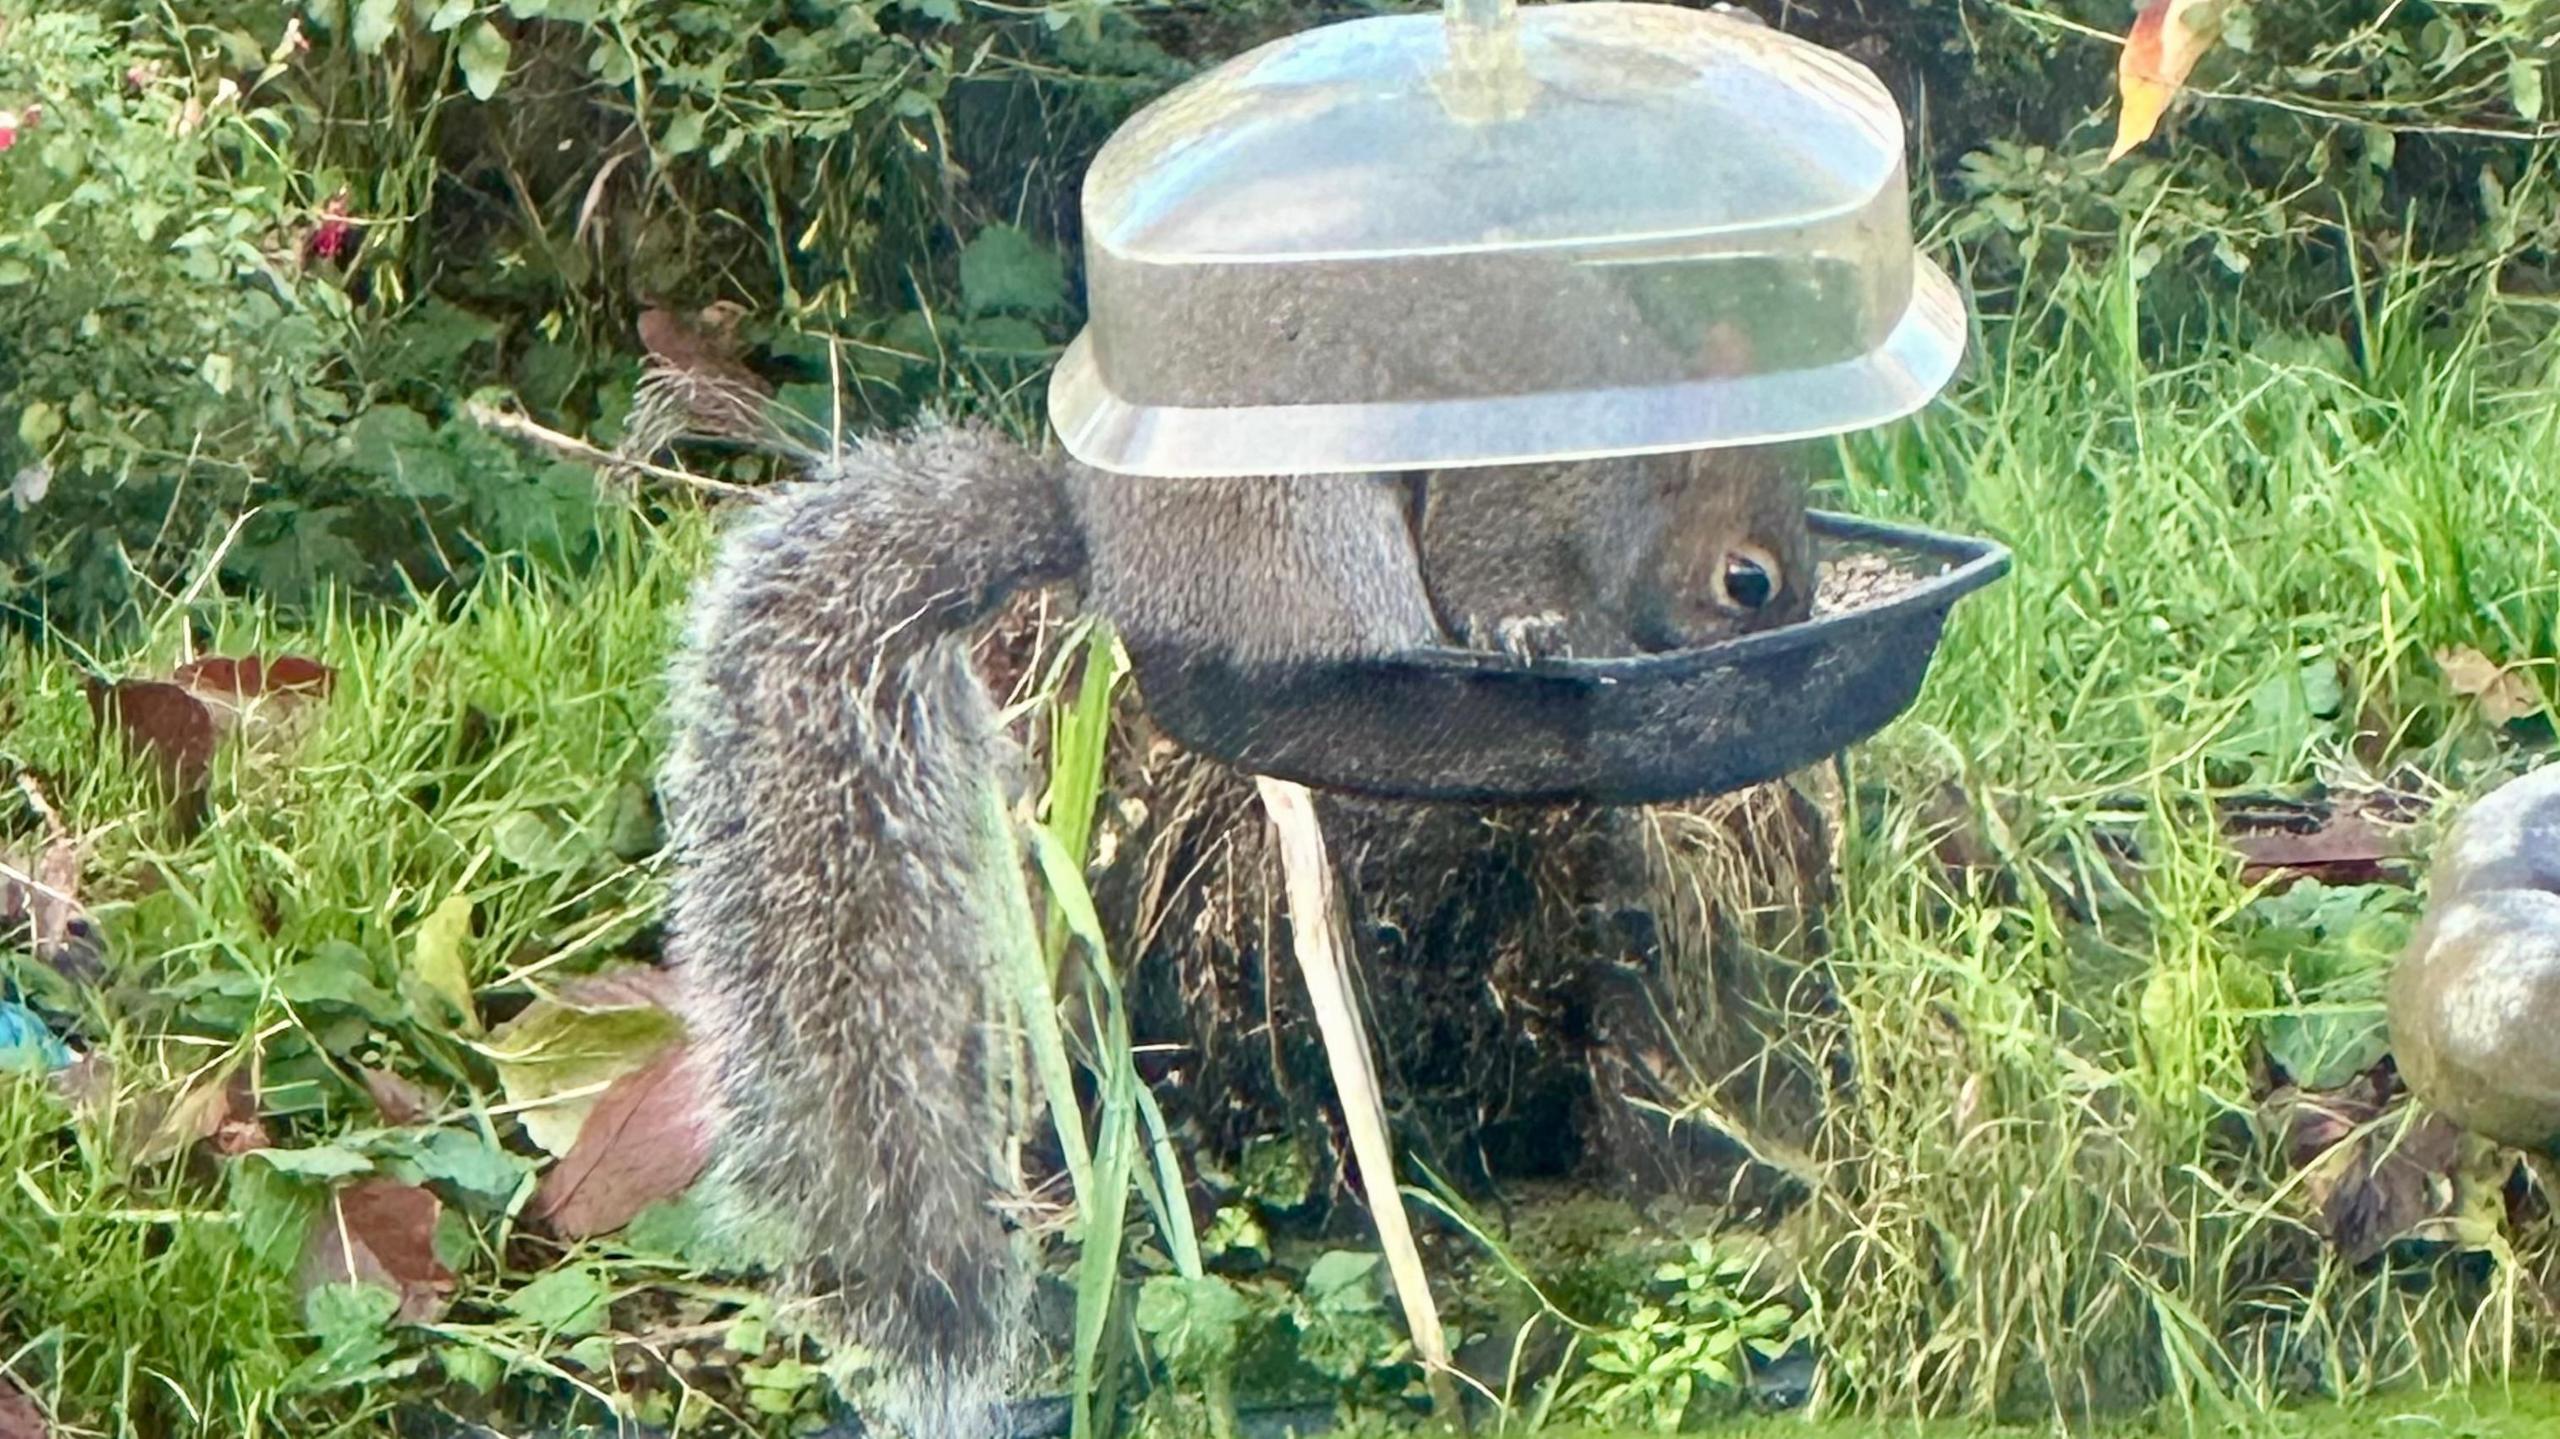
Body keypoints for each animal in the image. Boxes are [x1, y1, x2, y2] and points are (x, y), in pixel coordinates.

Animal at [658, 419, 1813, 1438]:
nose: (1775, 674)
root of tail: (1111, 561)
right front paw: (1536, 635)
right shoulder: (1509, 520)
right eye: (1746, 580)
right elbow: (1496, 589)